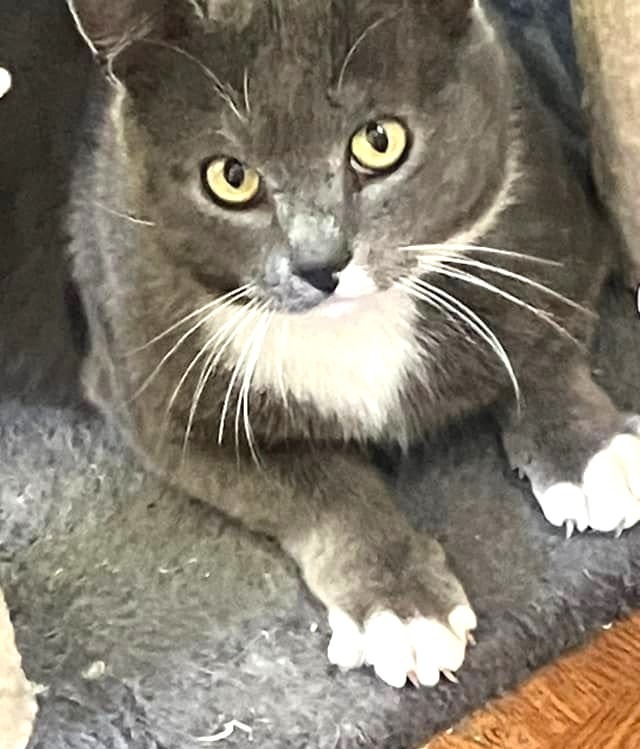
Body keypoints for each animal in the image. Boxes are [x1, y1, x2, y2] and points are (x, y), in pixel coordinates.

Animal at [66, 0, 640, 688]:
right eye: (230, 177)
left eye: (379, 140)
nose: (320, 262)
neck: (355, 324)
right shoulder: (149, 391)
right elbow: (319, 487)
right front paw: (402, 610)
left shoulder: (554, 223)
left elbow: (540, 341)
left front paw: (591, 455)